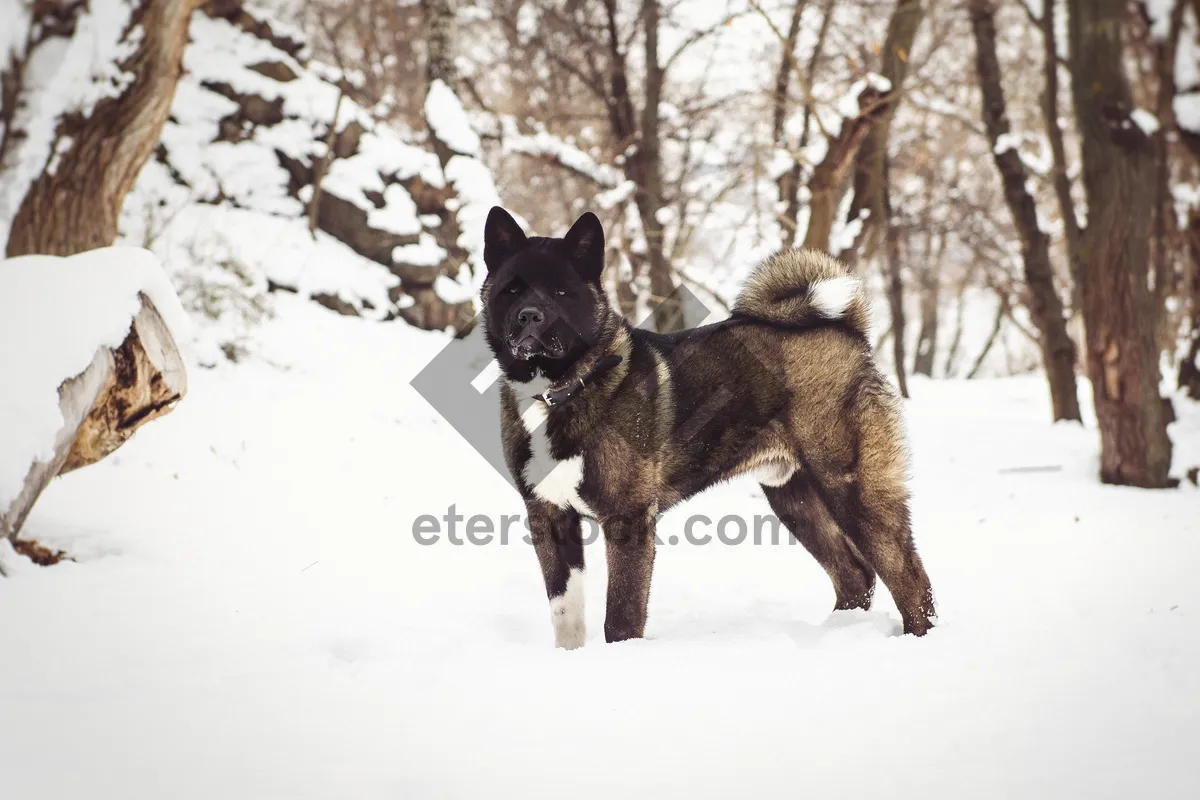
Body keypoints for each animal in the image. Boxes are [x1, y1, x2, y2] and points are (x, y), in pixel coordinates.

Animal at [482, 206, 931, 652]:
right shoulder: (548, 516)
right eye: (512, 290)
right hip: (795, 498)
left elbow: (621, 618)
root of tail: (846, 331)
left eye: (561, 292)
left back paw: (915, 639)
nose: (530, 316)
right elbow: (566, 613)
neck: (559, 390)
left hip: (855, 492)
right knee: (855, 575)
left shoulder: (628, 519)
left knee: (910, 579)